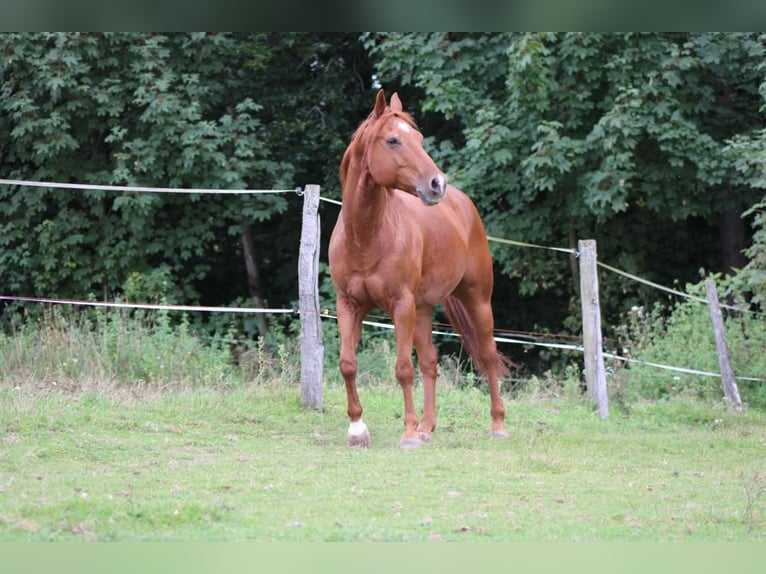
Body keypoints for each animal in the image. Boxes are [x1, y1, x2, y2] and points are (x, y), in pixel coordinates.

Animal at [328, 89, 510, 449]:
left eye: (420, 139)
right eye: (393, 140)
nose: (437, 183)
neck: (366, 236)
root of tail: (462, 204)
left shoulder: (401, 305)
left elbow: (402, 369)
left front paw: (409, 432)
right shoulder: (349, 304)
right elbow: (348, 363)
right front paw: (357, 429)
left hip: (476, 300)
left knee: (487, 354)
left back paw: (496, 424)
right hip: (423, 310)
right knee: (430, 362)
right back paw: (428, 426)